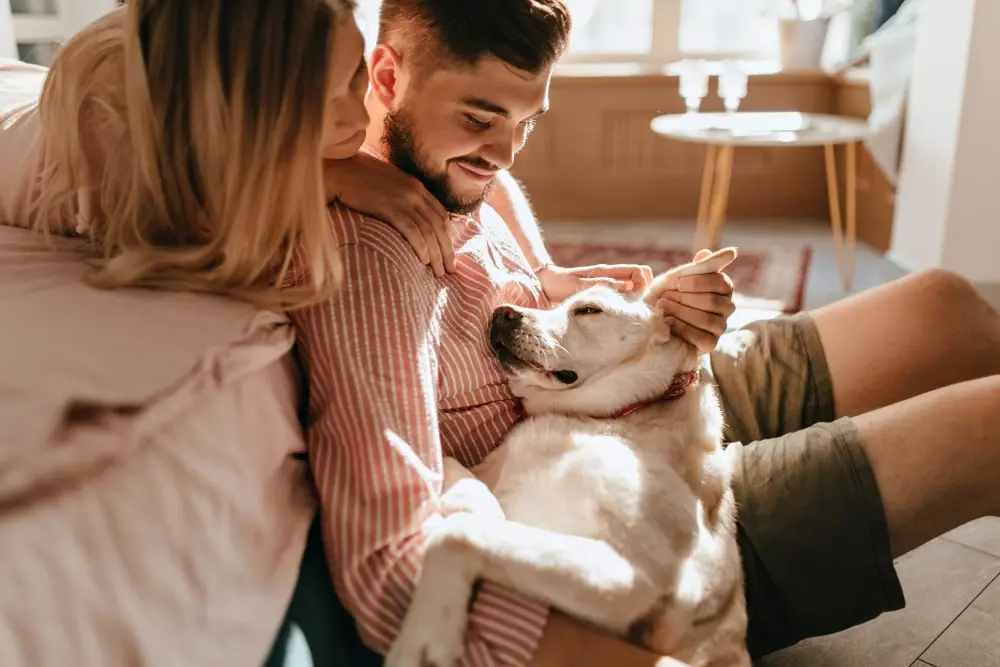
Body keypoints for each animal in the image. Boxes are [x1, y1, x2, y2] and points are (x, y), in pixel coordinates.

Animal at [386, 247, 748, 667]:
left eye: (588, 310)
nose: (502, 312)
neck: (607, 417)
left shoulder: (631, 577)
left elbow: (458, 534)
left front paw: (426, 635)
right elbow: (462, 480)